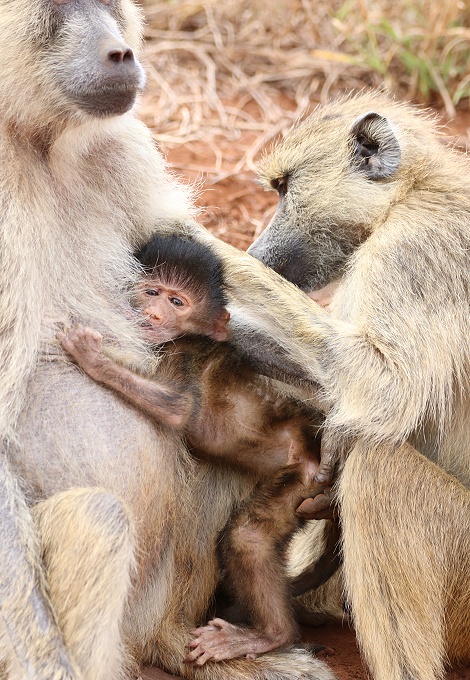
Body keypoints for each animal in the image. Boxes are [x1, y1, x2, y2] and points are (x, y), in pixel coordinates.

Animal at [57, 231, 338, 664]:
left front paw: (91, 358)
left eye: (177, 302)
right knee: (252, 534)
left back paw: (271, 635)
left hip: (304, 474)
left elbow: (180, 409)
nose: (155, 315)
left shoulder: (183, 352)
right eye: (151, 291)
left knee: (247, 540)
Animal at [246, 92, 470, 679]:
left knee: (376, 470)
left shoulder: (415, 252)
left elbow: (385, 385)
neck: (411, 192)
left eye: (285, 188)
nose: (256, 252)